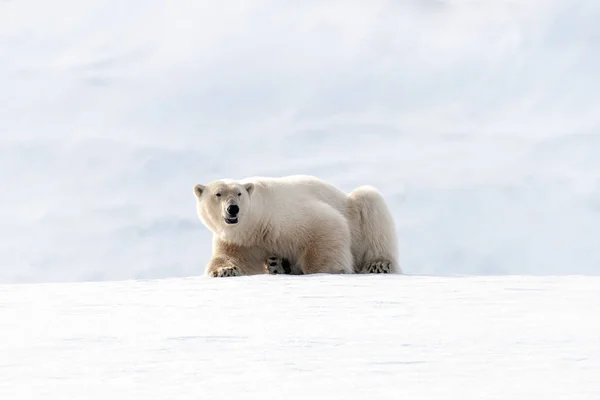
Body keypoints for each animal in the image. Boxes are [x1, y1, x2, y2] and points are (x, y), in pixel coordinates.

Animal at [192, 175, 398, 278]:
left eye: (239, 193)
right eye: (218, 194)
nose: (233, 208)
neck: (256, 225)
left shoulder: (283, 216)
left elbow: (328, 225)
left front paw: (329, 270)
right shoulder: (242, 241)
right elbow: (230, 257)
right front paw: (224, 270)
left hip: (355, 208)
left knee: (370, 201)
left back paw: (379, 264)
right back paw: (278, 264)